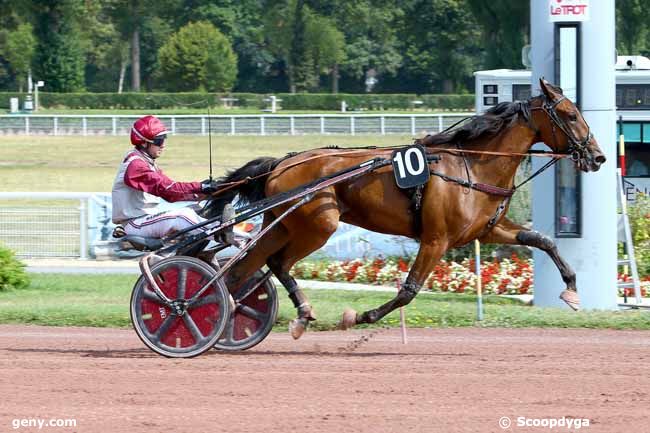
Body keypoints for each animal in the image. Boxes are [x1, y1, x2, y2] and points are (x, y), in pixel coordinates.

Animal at [206, 79, 604, 338]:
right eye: (570, 114)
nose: (598, 156)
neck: (472, 167)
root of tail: (282, 162)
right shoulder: (436, 239)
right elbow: (408, 291)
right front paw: (357, 316)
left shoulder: (488, 229)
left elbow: (542, 240)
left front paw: (571, 290)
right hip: (317, 226)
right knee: (276, 263)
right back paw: (288, 314)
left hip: (283, 224)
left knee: (244, 269)